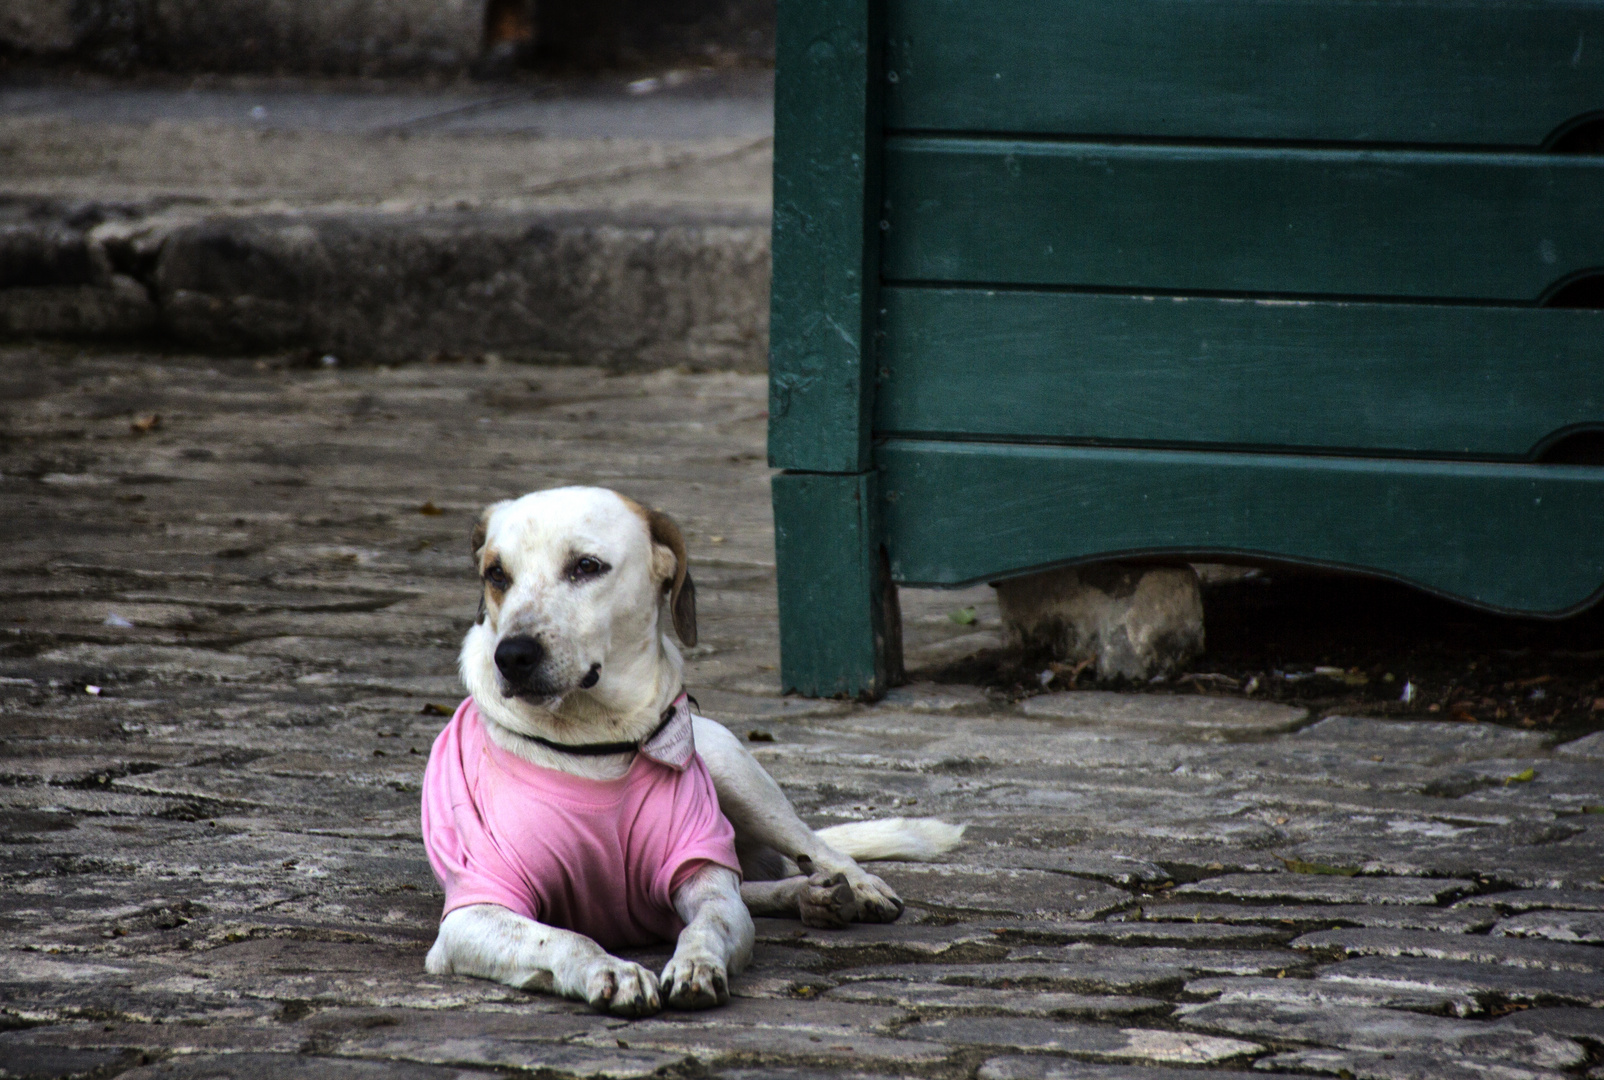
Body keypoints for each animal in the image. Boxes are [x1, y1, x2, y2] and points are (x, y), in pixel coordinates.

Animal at [420, 484, 962, 1014]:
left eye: (586, 566)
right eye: (496, 574)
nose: (513, 655)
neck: (593, 744)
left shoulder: (706, 879)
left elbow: (710, 924)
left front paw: (695, 965)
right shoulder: (473, 912)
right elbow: (564, 938)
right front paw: (611, 970)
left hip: (735, 774)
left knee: (810, 848)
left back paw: (854, 886)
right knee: (757, 885)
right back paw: (808, 895)